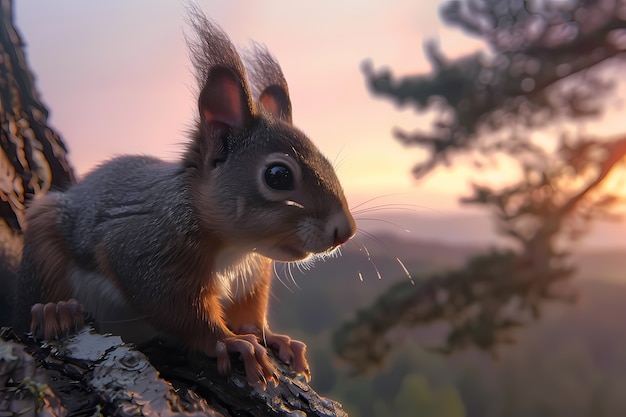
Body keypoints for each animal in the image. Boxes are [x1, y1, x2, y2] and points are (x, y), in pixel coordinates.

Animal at [12, 8, 354, 386]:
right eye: (278, 176)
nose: (345, 231)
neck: (235, 249)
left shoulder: (251, 276)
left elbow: (248, 311)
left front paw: (272, 337)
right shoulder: (143, 250)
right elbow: (179, 312)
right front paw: (231, 343)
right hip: (44, 242)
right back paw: (55, 311)